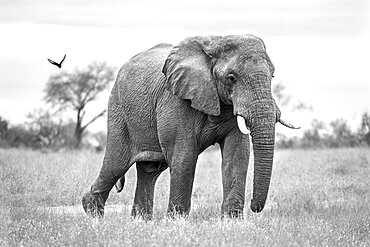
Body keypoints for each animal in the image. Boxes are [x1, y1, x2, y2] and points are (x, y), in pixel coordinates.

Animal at [81, 33, 298, 219]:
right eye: (231, 78)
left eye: (272, 76)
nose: (254, 206)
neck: (215, 42)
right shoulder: (175, 99)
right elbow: (184, 155)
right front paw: (176, 223)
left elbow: (237, 153)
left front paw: (233, 222)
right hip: (119, 112)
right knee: (115, 163)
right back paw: (93, 215)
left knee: (149, 171)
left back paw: (140, 222)